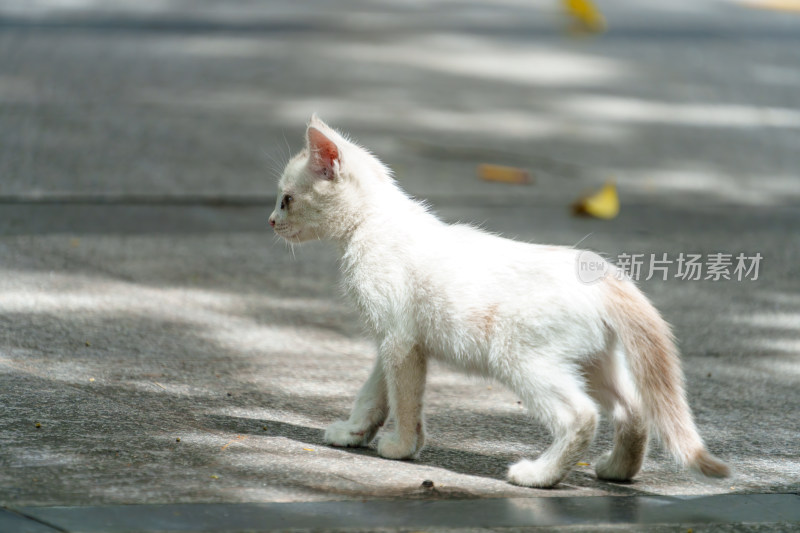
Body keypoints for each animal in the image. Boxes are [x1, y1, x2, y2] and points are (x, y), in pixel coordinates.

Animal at [270, 115, 732, 486]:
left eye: (287, 199)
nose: (271, 220)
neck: (373, 223)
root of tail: (602, 274)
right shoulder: (395, 339)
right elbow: (375, 391)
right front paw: (354, 432)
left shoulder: (399, 340)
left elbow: (403, 397)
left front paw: (402, 446)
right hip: (593, 362)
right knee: (633, 410)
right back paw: (618, 470)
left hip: (520, 356)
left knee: (580, 416)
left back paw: (540, 476)